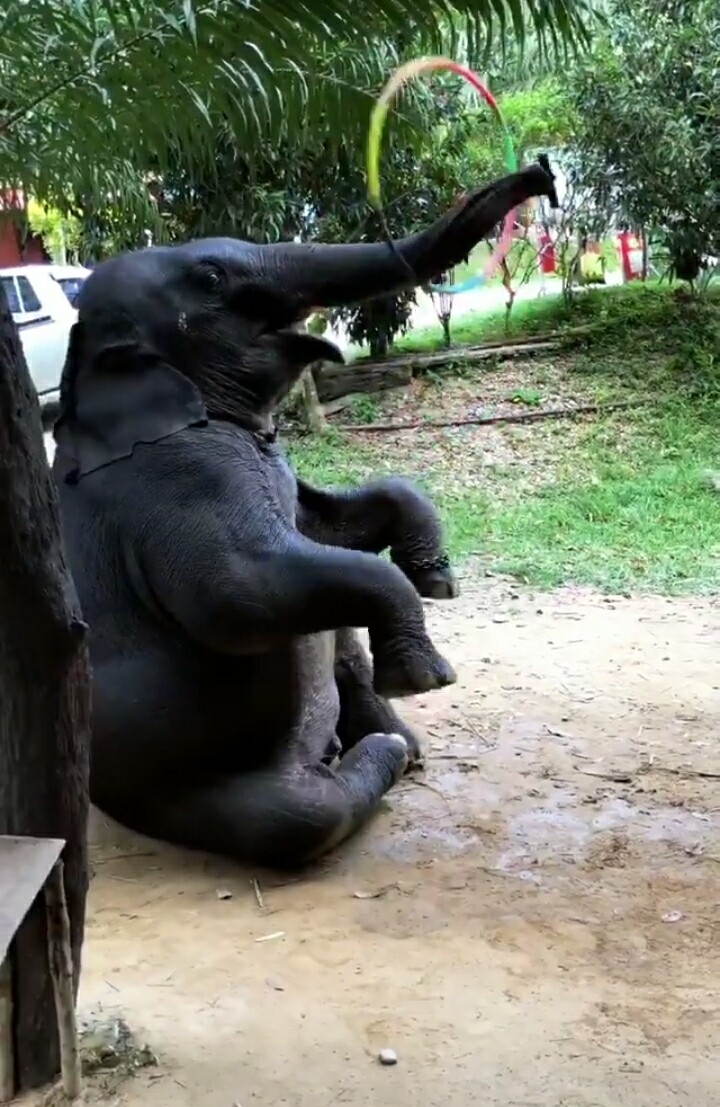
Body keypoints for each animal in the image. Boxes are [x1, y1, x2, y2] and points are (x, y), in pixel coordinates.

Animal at [53, 161, 558, 869]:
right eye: (212, 279)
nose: (543, 172)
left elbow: (327, 523)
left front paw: (436, 578)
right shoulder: (171, 483)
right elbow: (237, 595)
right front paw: (425, 678)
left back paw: (398, 741)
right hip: (173, 788)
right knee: (299, 816)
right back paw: (385, 749)